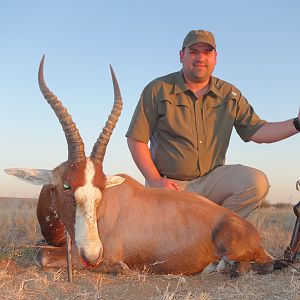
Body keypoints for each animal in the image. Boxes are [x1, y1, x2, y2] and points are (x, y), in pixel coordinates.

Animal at [5, 56, 284, 276]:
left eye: (101, 188)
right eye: (66, 186)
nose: (93, 254)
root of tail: (249, 229)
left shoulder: (94, 253)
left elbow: (41, 255)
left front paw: (119, 268)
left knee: (263, 264)